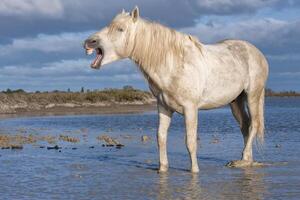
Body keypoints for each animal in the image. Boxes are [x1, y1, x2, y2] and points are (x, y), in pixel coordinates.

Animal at [83, 5, 268, 172]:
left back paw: (243, 160)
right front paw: (162, 169)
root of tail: (258, 53)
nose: (89, 42)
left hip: (252, 95)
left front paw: (194, 171)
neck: (174, 63)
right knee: (245, 126)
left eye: (121, 29)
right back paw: (247, 160)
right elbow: (161, 137)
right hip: (236, 101)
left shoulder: (190, 108)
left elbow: (190, 141)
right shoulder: (164, 107)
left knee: (254, 125)